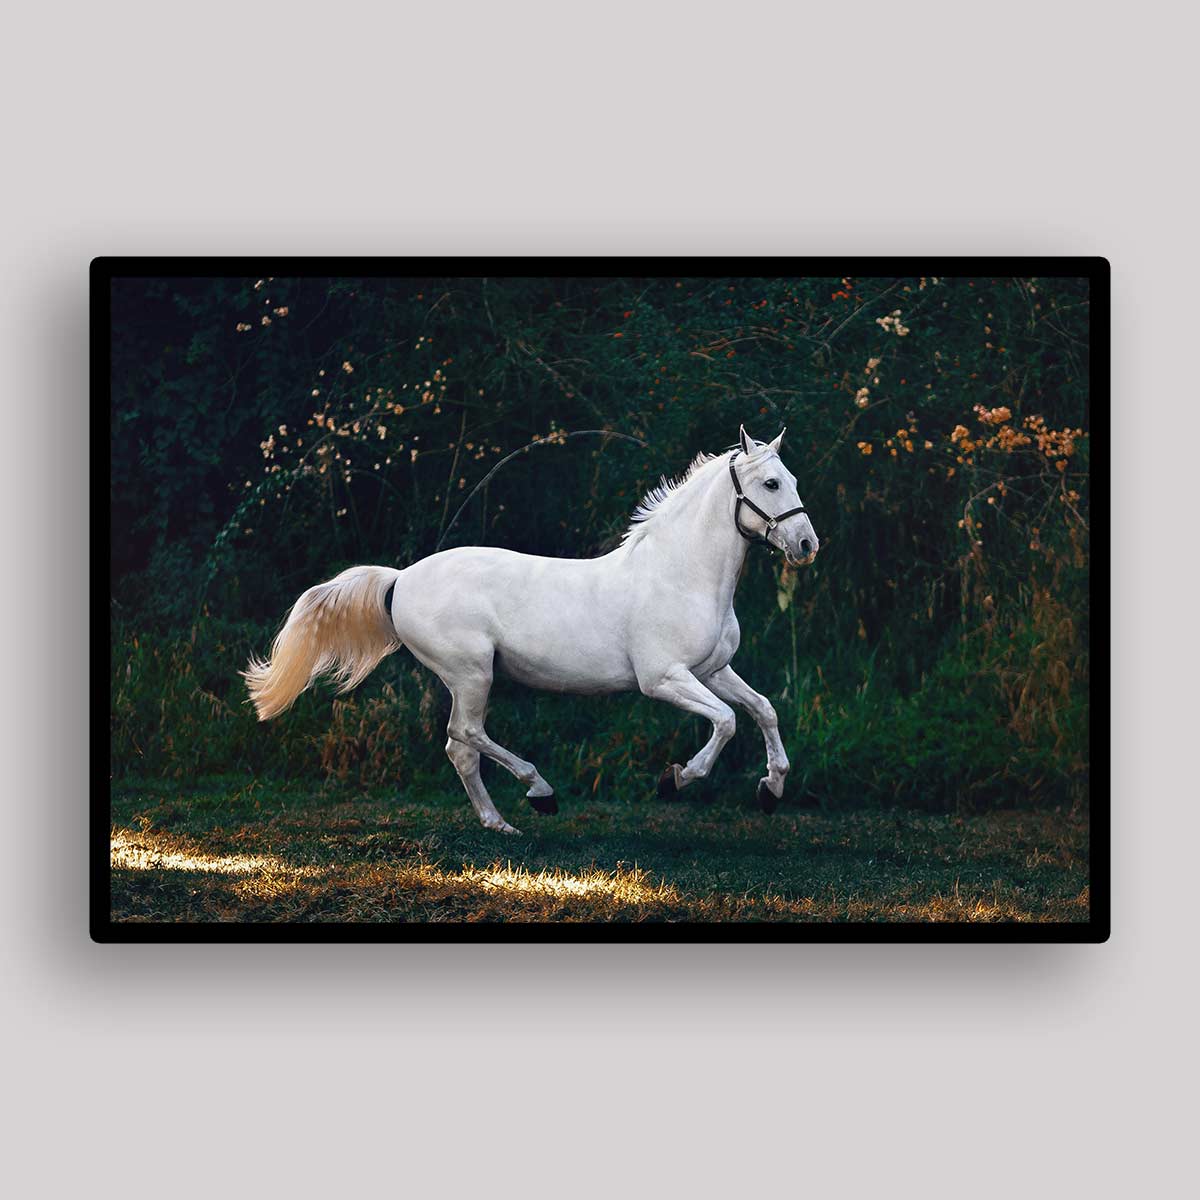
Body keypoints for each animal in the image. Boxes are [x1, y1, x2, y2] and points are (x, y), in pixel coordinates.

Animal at [243, 424, 820, 833]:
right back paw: (540, 793)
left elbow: (763, 709)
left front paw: (771, 790)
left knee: (460, 748)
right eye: (771, 483)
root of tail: (401, 578)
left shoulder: (713, 670)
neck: (680, 574)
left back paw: (500, 824)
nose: (807, 545)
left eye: (793, 481)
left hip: (470, 678)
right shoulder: (664, 679)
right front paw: (675, 780)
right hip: (472, 673)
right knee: (466, 735)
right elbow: (726, 721)